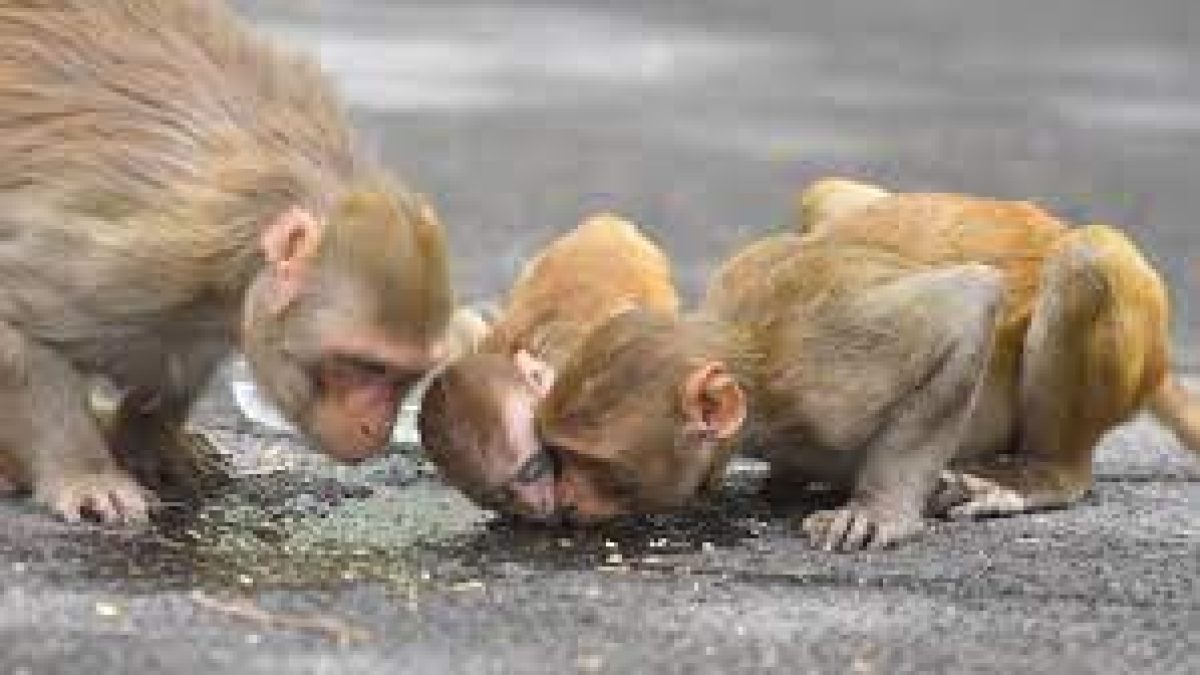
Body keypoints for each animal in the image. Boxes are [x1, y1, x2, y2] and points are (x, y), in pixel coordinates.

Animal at [0, 1, 452, 524]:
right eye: (366, 366)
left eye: (403, 375)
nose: (375, 431)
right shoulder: (130, 264)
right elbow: (16, 324)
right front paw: (86, 473)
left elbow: (184, 360)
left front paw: (152, 441)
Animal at [514, 179, 1200, 550]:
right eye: (557, 452)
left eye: (591, 463)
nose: (563, 499)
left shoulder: (819, 373)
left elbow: (968, 302)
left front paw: (878, 510)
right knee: (827, 195)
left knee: (1090, 258)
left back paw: (1044, 473)